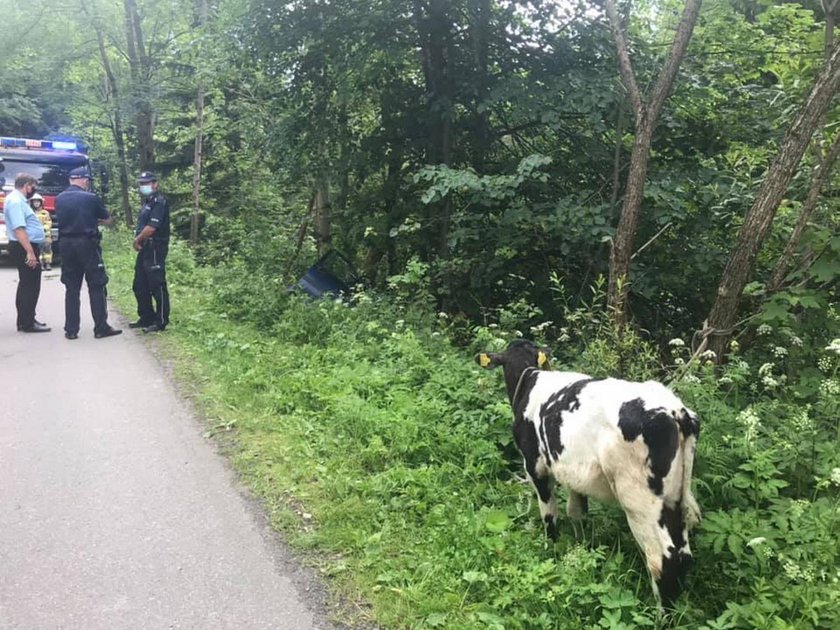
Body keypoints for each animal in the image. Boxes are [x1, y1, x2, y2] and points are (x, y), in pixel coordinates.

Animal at [472, 344, 704, 608]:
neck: (530, 378)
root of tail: (675, 410)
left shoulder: (535, 466)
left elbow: (549, 513)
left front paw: (551, 548)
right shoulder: (574, 471)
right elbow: (577, 511)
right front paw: (581, 547)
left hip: (641, 502)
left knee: (662, 560)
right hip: (675, 498)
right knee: (683, 554)